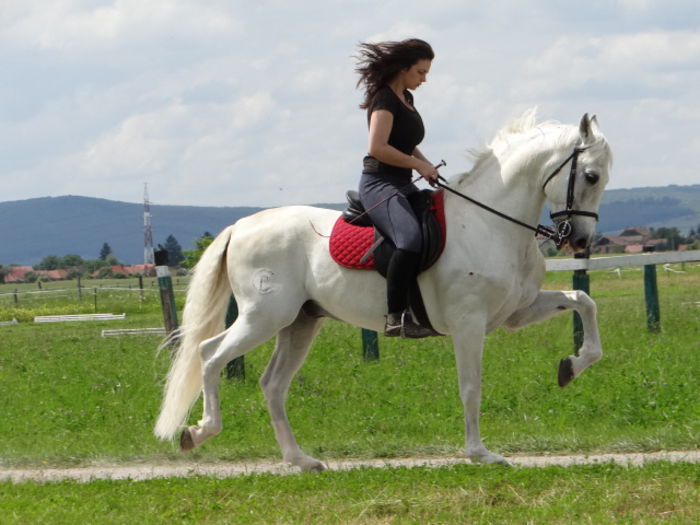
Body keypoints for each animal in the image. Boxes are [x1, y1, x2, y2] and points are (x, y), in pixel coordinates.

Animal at [154, 109, 612, 466]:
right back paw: (199, 431)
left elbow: (583, 301)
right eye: (590, 176)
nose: (580, 241)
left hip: (300, 323)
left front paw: (572, 366)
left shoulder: (516, 312)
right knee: (210, 354)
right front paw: (480, 453)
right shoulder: (469, 323)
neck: (490, 223)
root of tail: (241, 225)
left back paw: (300, 460)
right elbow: (471, 386)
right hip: (264, 317)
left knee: (272, 384)